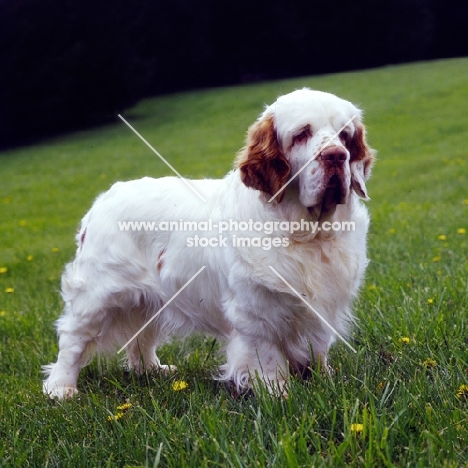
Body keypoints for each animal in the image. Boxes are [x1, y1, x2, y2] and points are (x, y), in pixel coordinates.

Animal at [43, 88, 372, 398]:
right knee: (72, 339)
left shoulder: (323, 301)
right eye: (301, 134)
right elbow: (268, 357)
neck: (307, 233)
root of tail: (101, 201)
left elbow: (319, 347)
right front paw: (279, 394)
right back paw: (61, 388)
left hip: (149, 299)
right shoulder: (255, 311)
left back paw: (153, 370)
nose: (336, 156)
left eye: (345, 136)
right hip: (96, 296)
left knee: (141, 337)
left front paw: (325, 380)